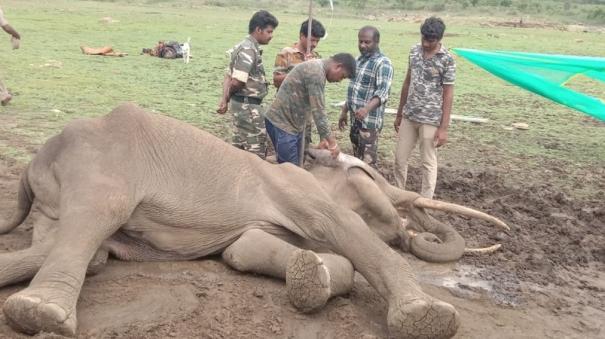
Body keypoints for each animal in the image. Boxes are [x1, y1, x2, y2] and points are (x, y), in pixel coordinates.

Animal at [0, 104, 508, 339]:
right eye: (380, 187)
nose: (409, 230)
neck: (311, 164)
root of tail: (35, 161)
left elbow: (242, 251)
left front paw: (314, 277)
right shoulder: (297, 188)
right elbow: (343, 226)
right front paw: (426, 319)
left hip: (56, 200)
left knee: (84, 248)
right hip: (102, 167)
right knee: (96, 219)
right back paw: (39, 313)